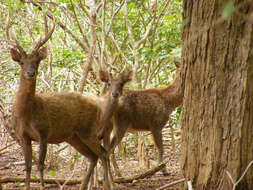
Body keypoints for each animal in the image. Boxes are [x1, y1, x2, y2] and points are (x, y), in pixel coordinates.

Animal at [6, 18, 113, 189]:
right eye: (21, 62)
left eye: (37, 62)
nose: (31, 73)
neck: (26, 114)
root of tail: (98, 108)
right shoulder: (23, 135)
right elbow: (28, 166)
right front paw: (27, 186)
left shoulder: (44, 131)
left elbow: (40, 164)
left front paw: (42, 186)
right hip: (74, 137)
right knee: (93, 156)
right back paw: (84, 186)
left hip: (88, 129)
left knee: (103, 153)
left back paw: (107, 185)